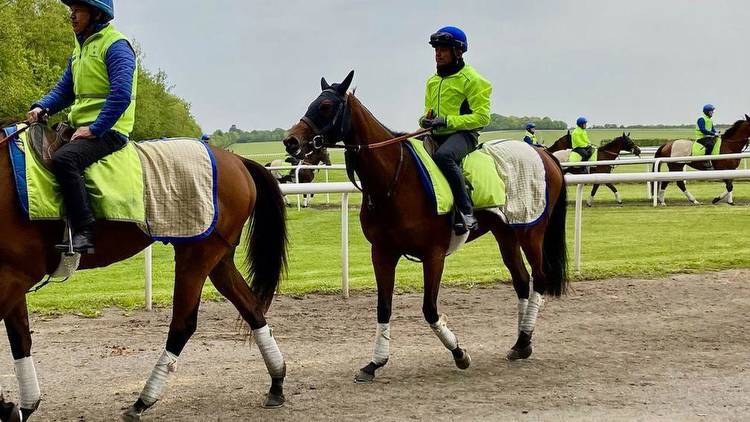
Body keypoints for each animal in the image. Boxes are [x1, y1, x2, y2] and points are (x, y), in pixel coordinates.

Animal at [0, 120, 290, 420]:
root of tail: (237, 160)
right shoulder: (12, 275)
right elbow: (20, 339)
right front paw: (22, 407)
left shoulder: (14, 276)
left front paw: (9, 407)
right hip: (220, 260)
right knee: (252, 308)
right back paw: (276, 382)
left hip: (196, 255)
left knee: (183, 324)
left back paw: (143, 401)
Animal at [282, 71, 568, 382]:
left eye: (325, 106)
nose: (290, 141)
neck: (394, 180)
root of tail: (544, 154)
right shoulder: (382, 253)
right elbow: (383, 307)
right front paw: (374, 363)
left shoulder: (434, 255)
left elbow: (430, 309)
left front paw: (460, 353)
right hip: (505, 233)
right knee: (522, 281)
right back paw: (519, 343)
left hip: (531, 231)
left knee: (539, 277)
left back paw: (525, 339)